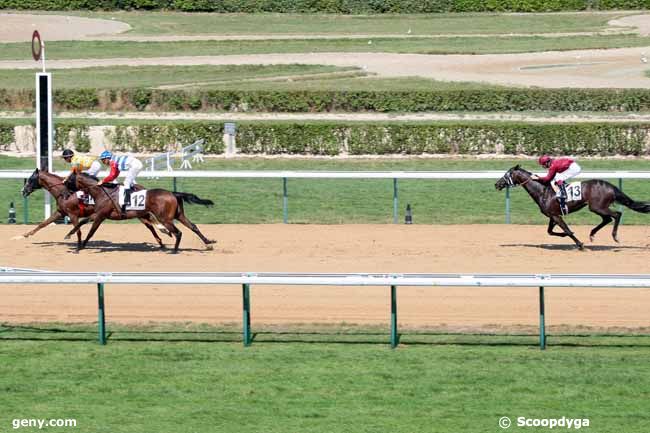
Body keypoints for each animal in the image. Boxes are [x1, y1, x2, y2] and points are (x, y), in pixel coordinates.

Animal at [20, 169, 167, 250]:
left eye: (31, 179)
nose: (23, 191)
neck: (63, 192)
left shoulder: (73, 214)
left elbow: (78, 230)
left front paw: (77, 243)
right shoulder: (61, 212)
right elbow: (43, 223)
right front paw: (26, 234)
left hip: (139, 214)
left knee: (151, 225)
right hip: (140, 215)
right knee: (150, 226)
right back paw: (161, 241)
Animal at [63, 172, 215, 251]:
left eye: (69, 180)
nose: (65, 195)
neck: (102, 192)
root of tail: (172, 193)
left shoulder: (101, 215)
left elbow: (90, 230)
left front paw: (80, 246)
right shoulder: (98, 214)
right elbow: (82, 222)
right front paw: (70, 235)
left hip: (165, 218)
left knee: (178, 232)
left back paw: (174, 250)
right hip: (179, 215)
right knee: (193, 226)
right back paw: (208, 242)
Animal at [494, 165, 648, 250]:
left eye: (507, 174)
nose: (497, 184)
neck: (543, 191)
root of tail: (610, 186)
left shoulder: (556, 216)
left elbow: (566, 230)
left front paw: (580, 245)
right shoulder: (553, 215)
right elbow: (550, 232)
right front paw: (565, 236)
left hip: (597, 207)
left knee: (616, 215)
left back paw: (614, 236)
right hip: (596, 207)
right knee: (607, 219)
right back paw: (592, 234)